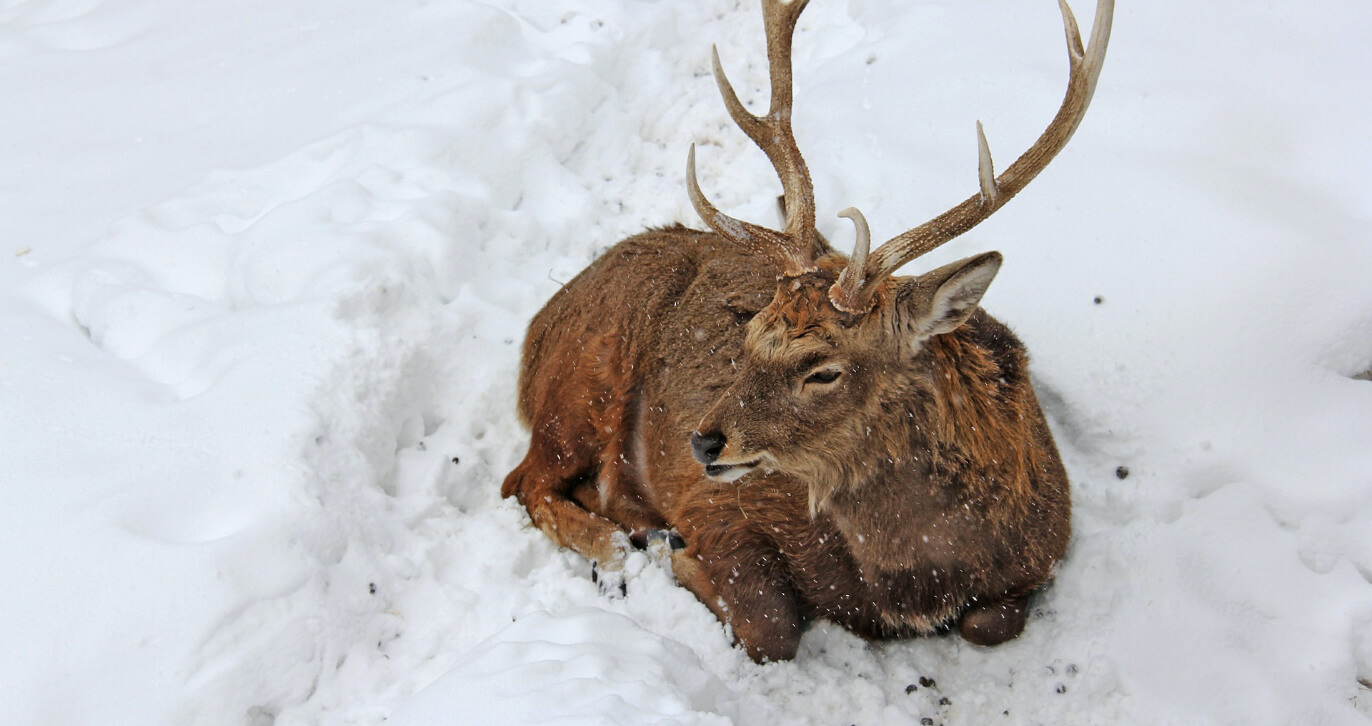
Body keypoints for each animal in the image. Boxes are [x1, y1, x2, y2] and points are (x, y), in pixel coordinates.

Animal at [504, 0, 1114, 661]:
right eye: (748, 333)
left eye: (824, 370)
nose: (702, 442)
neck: (918, 578)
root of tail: (538, 328)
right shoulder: (720, 503)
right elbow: (773, 626)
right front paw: (675, 556)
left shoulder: (1045, 552)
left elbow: (990, 623)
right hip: (583, 382)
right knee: (525, 481)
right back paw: (619, 550)